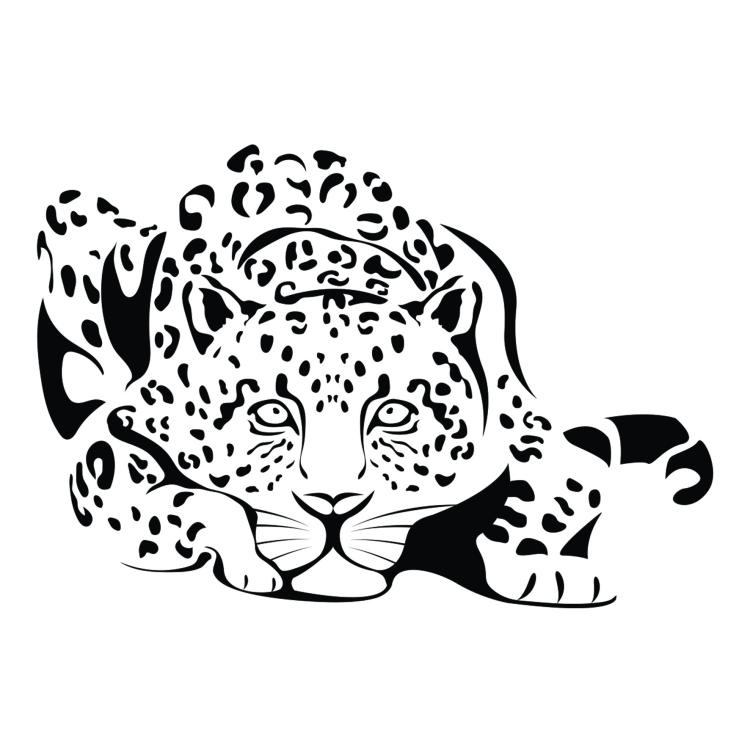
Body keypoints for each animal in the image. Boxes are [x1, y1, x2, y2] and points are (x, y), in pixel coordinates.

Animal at [36, 143, 713, 605]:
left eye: (395, 413)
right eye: (270, 413)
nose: (332, 508)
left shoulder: (528, 422)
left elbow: (578, 479)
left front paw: (542, 565)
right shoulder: (109, 447)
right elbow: (194, 499)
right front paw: (249, 561)